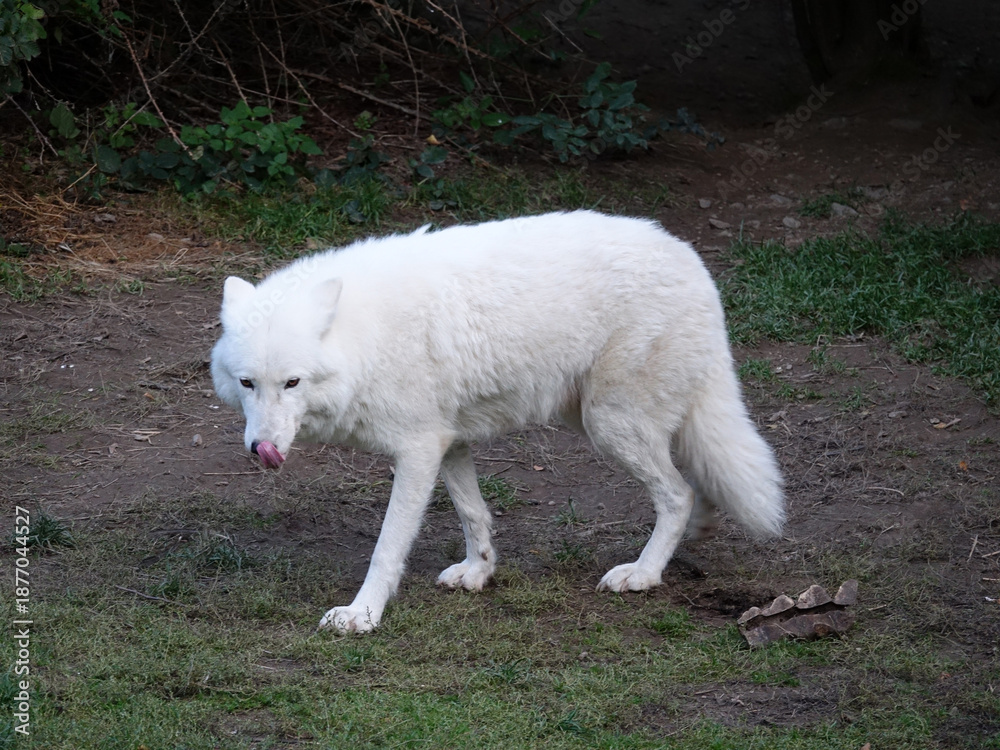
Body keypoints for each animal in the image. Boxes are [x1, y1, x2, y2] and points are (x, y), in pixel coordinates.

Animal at [210, 211, 784, 633]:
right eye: (247, 383)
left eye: (292, 383)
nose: (261, 449)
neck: (363, 337)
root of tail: (692, 260)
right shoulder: (448, 441)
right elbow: (473, 512)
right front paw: (479, 571)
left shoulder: (417, 449)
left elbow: (387, 547)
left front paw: (363, 614)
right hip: (613, 421)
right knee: (697, 482)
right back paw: (697, 534)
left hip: (611, 425)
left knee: (677, 493)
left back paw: (643, 573)